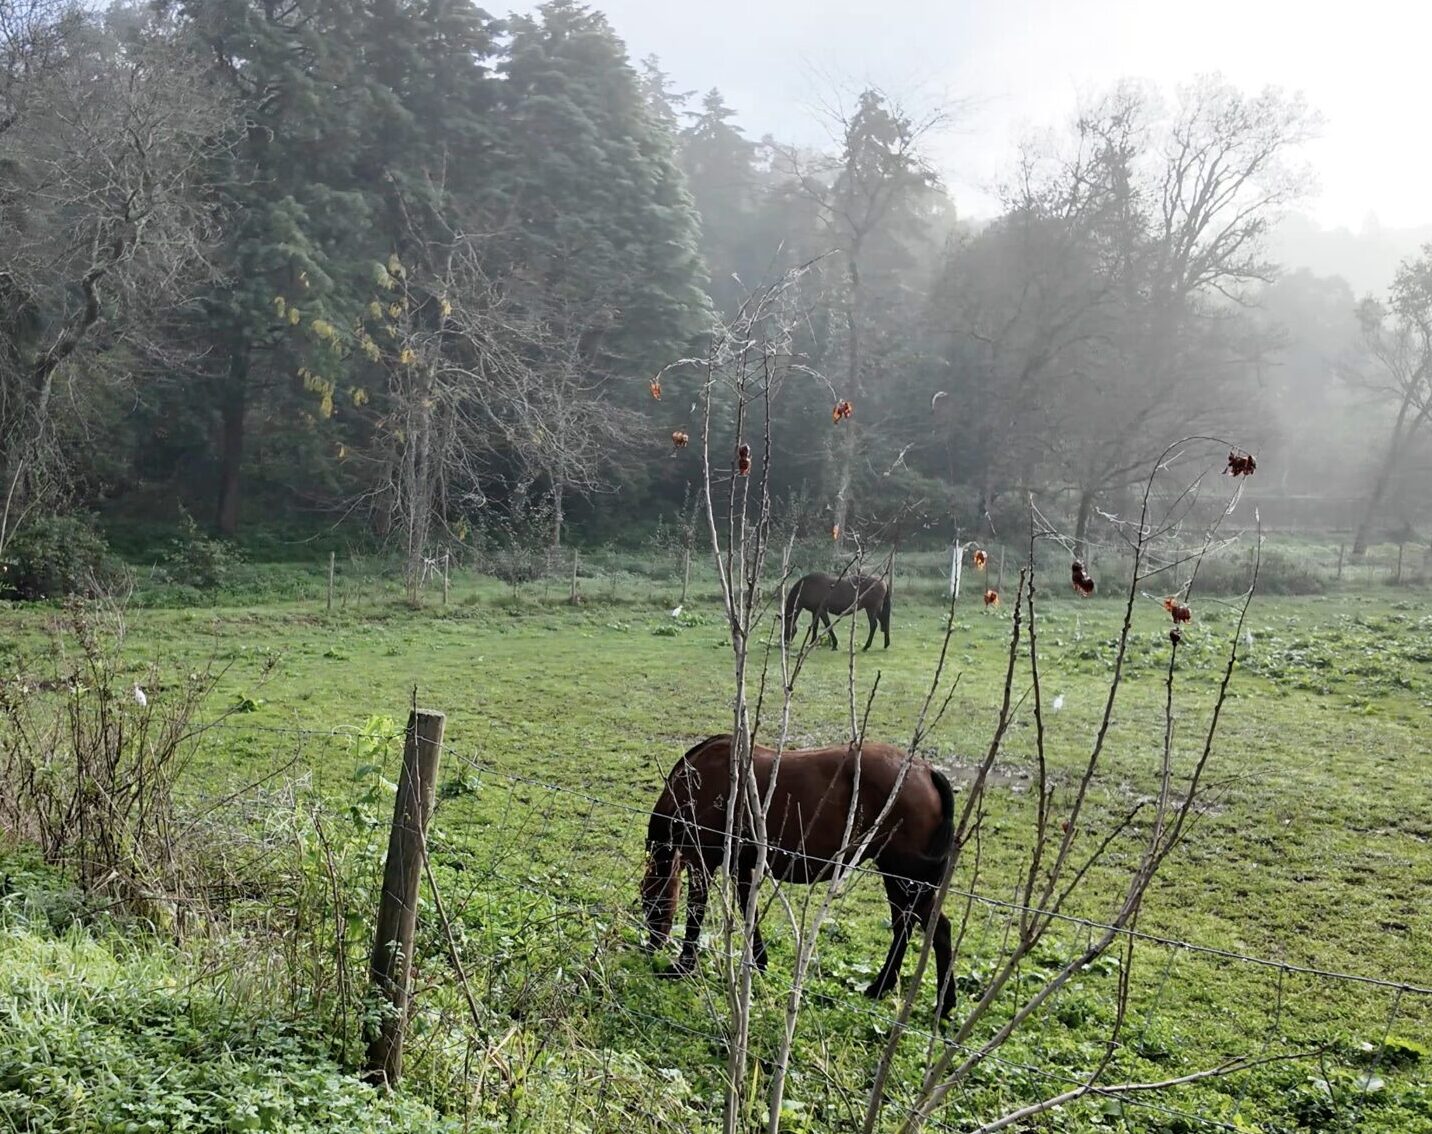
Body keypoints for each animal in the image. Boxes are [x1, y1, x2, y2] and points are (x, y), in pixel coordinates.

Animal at [644, 733, 956, 1019]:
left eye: (650, 902)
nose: (651, 946)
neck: (699, 777)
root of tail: (927, 771)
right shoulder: (742, 866)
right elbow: (748, 910)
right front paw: (759, 961)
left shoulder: (703, 861)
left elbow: (696, 912)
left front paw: (682, 967)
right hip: (901, 879)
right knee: (916, 927)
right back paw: (920, 997)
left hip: (904, 876)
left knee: (924, 928)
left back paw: (903, 993)